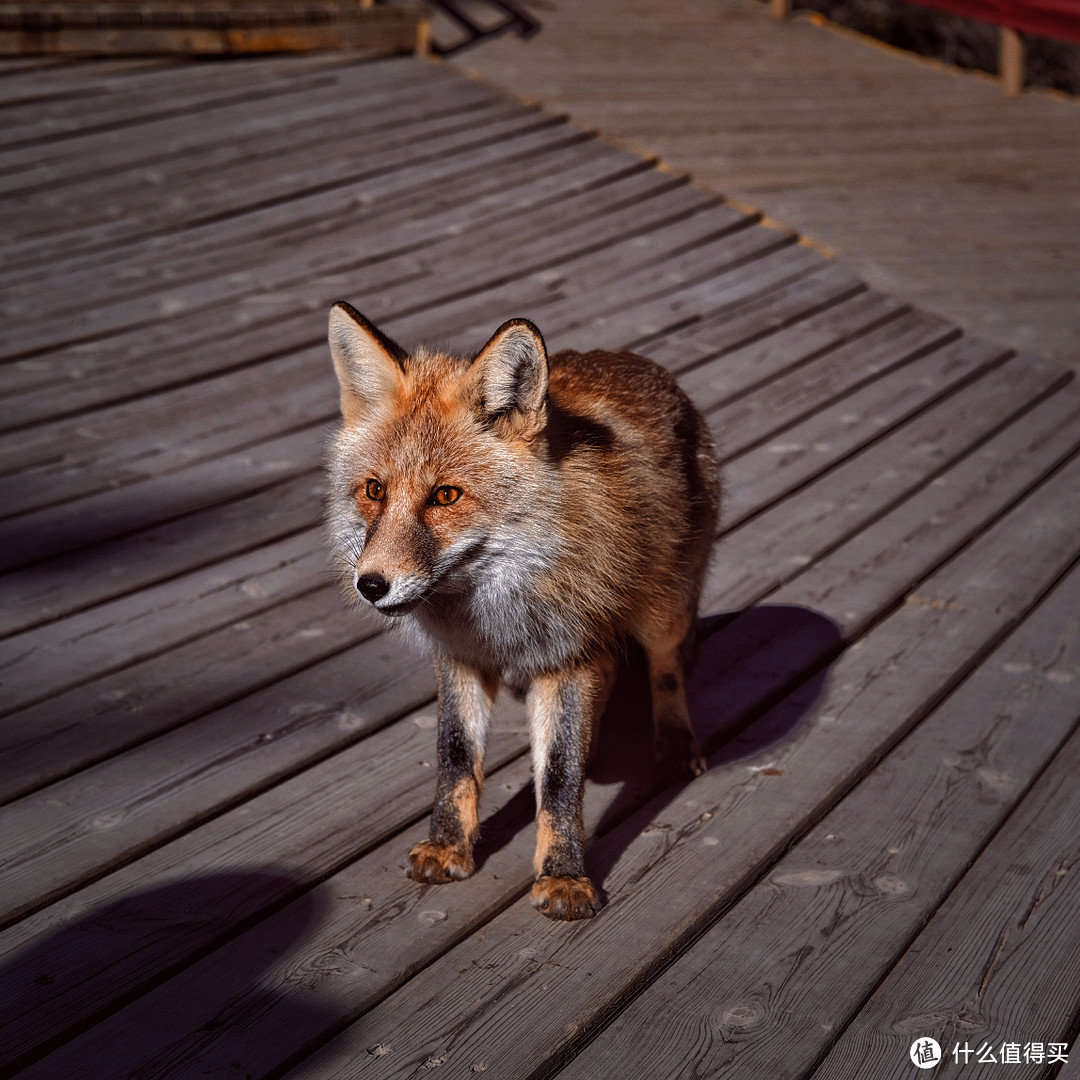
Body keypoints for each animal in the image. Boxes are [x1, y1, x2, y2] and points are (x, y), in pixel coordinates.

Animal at [326, 304, 717, 920]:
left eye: (446, 496)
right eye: (374, 490)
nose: (370, 585)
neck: (494, 613)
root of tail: (646, 365)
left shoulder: (567, 655)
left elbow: (557, 778)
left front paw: (563, 875)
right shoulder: (462, 658)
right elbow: (457, 758)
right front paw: (448, 845)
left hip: (663, 611)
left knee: (667, 670)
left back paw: (675, 743)